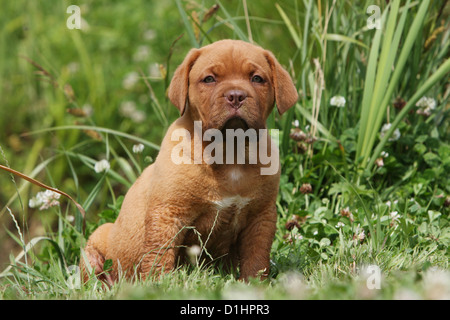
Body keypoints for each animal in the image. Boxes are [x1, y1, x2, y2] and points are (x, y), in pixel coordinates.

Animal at [81, 39, 298, 282]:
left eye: (257, 78)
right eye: (209, 79)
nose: (236, 96)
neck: (229, 151)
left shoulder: (260, 217)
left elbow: (256, 259)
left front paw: (254, 284)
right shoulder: (168, 215)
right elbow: (159, 257)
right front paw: (158, 285)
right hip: (96, 241)